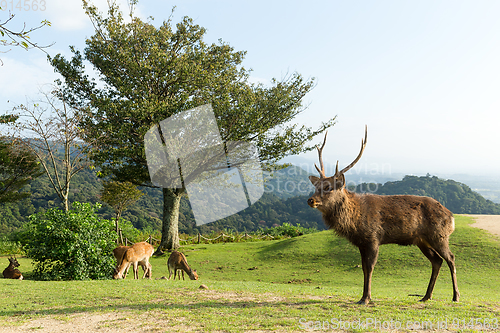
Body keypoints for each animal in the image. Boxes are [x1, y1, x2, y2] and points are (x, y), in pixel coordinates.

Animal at [306, 126, 458, 304]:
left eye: (328, 187)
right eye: (316, 186)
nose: (310, 200)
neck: (355, 221)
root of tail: (451, 217)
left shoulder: (373, 237)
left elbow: (370, 267)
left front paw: (366, 298)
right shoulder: (361, 242)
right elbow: (364, 268)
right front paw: (362, 297)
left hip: (439, 235)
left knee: (451, 258)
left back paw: (455, 296)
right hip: (422, 240)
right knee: (437, 260)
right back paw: (426, 296)